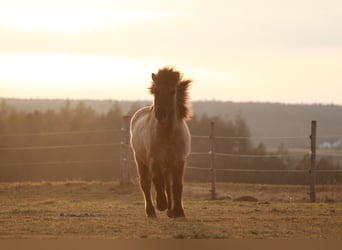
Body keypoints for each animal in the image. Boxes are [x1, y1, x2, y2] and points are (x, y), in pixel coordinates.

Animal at [130, 67, 191, 218]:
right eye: (156, 90)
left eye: (173, 91)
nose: (160, 114)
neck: (168, 135)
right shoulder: (155, 160)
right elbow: (158, 181)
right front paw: (161, 204)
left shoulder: (179, 161)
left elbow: (177, 186)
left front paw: (178, 211)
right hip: (140, 160)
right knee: (146, 184)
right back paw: (151, 211)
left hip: (168, 166)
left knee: (168, 185)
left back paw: (170, 211)